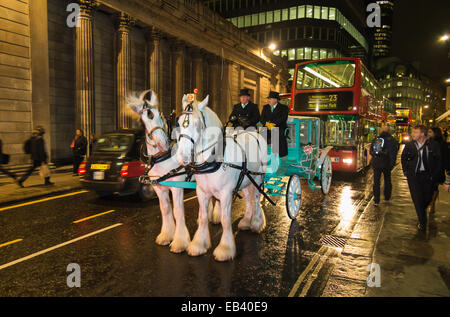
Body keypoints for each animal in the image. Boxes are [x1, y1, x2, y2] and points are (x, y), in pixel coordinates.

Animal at [126, 90, 190, 253]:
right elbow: (166, 209)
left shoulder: (177, 186)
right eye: (144, 120)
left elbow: (178, 211)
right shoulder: (159, 187)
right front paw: (166, 236)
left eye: (159, 115)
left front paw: (180, 242)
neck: (163, 156)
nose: (161, 144)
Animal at [176, 93, 268, 260]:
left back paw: (257, 223)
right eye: (179, 122)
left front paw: (225, 249)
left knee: (257, 199)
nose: (182, 157)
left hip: (257, 178)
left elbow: (225, 220)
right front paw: (198, 244)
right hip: (245, 180)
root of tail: (254, 133)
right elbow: (203, 217)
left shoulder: (226, 193)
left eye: (197, 124)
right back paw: (246, 221)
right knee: (248, 200)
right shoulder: (202, 192)